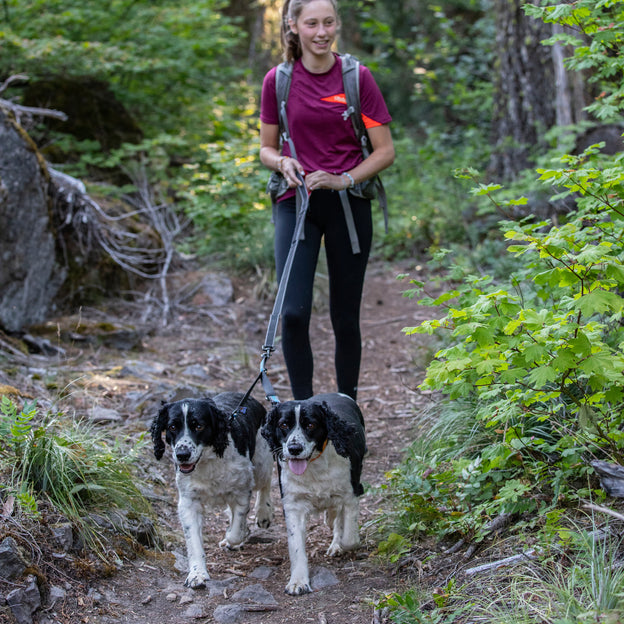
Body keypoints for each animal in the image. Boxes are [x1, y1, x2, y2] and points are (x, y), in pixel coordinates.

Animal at [151, 392, 272, 588]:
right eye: (172, 427)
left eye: (199, 426)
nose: (182, 455)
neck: (208, 460)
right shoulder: (189, 502)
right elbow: (194, 542)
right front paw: (197, 574)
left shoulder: (241, 491)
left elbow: (235, 531)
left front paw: (234, 535)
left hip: (261, 462)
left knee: (265, 483)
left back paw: (264, 513)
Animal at [262, 394, 368, 596]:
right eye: (283, 425)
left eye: (310, 425)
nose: (294, 448)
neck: (314, 466)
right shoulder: (293, 504)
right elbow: (296, 547)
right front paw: (298, 581)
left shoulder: (351, 493)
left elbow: (349, 538)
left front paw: (342, 543)